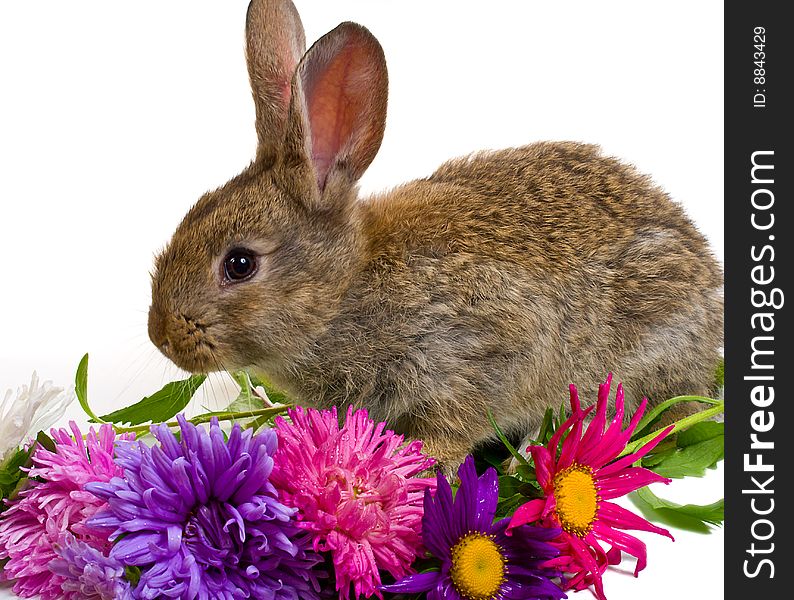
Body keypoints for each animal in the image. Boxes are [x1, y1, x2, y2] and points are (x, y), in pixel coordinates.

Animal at [145, 0, 720, 468]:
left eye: (239, 264)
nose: (162, 336)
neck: (343, 293)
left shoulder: (470, 354)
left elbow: (453, 424)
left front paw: (423, 462)